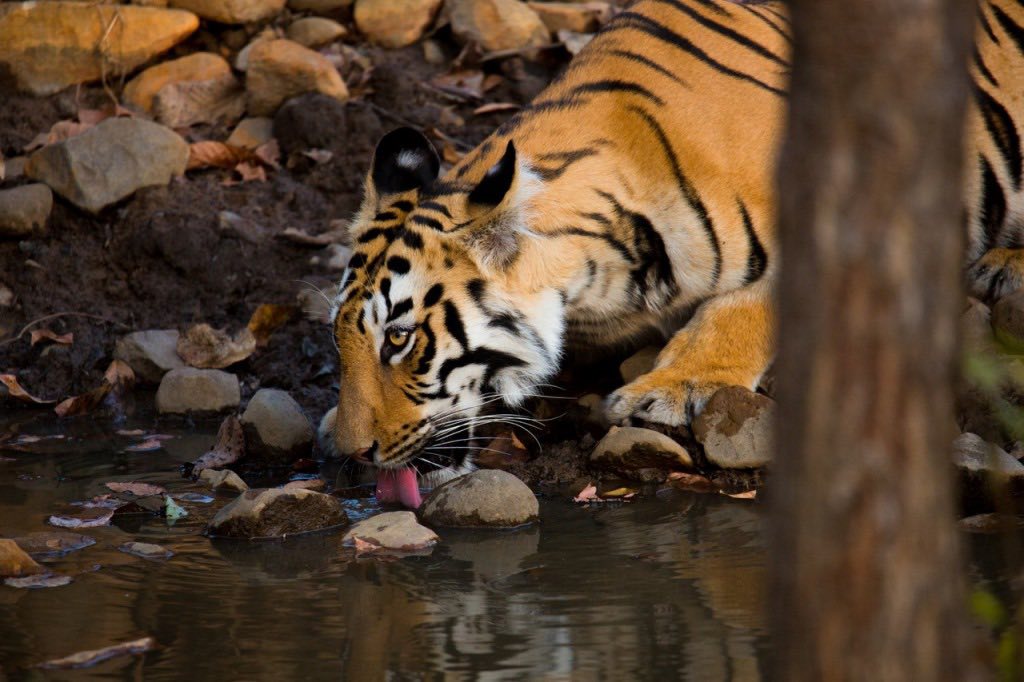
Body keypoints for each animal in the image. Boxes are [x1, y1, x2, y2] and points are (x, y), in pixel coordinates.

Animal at [322, 0, 1024, 505]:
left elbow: (740, 308)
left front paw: (672, 387)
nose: (351, 455)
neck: (591, 283)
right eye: (341, 341)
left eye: (399, 340)